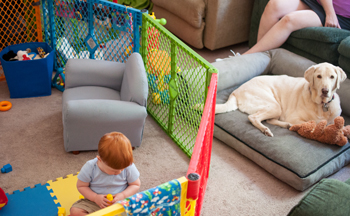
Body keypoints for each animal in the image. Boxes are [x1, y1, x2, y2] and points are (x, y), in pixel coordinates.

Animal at [216, 62, 348, 137]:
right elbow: (313, 125)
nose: (325, 91)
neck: (321, 105)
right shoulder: (294, 117)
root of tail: (236, 91)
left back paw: (286, 125)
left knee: (269, 119)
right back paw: (266, 130)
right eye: (319, 76)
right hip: (274, 106)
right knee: (253, 117)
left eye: (332, 77)